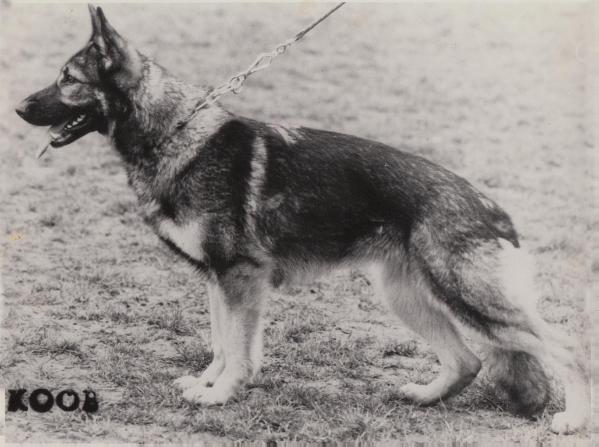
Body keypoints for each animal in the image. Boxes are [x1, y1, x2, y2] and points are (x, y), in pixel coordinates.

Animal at [15, 5, 592, 436]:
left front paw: (221, 395)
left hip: (468, 297)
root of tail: (492, 208)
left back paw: (574, 420)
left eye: (67, 80)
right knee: (467, 361)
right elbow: (222, 342)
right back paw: (424, 396)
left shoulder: (240, 278)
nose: (18, 107)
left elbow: (237, 349)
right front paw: (208, 384)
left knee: (567, 348)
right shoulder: (218, 281)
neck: (172, 133)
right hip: (405, 296)